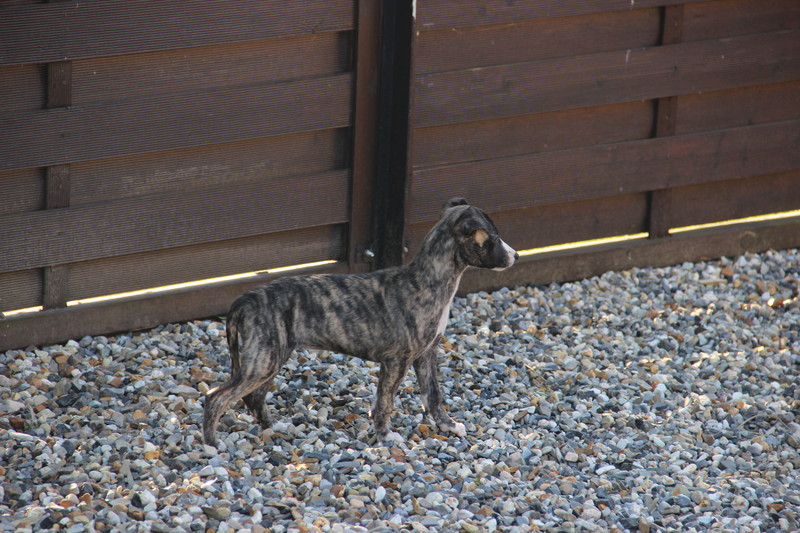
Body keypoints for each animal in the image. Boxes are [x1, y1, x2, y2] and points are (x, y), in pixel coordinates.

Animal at [202, 198, 517, 446]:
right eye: (492, 237)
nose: (515, 255)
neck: (427, 281)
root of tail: (244, 300)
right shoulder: (396, 362)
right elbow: (386, 401)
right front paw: (385, 436)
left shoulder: (427, 355)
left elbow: (433, 395)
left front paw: (447, 425)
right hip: (264, 360)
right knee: (216, 396)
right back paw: (212, 445)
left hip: (269, 357)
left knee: (253, 398)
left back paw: (273, 428)